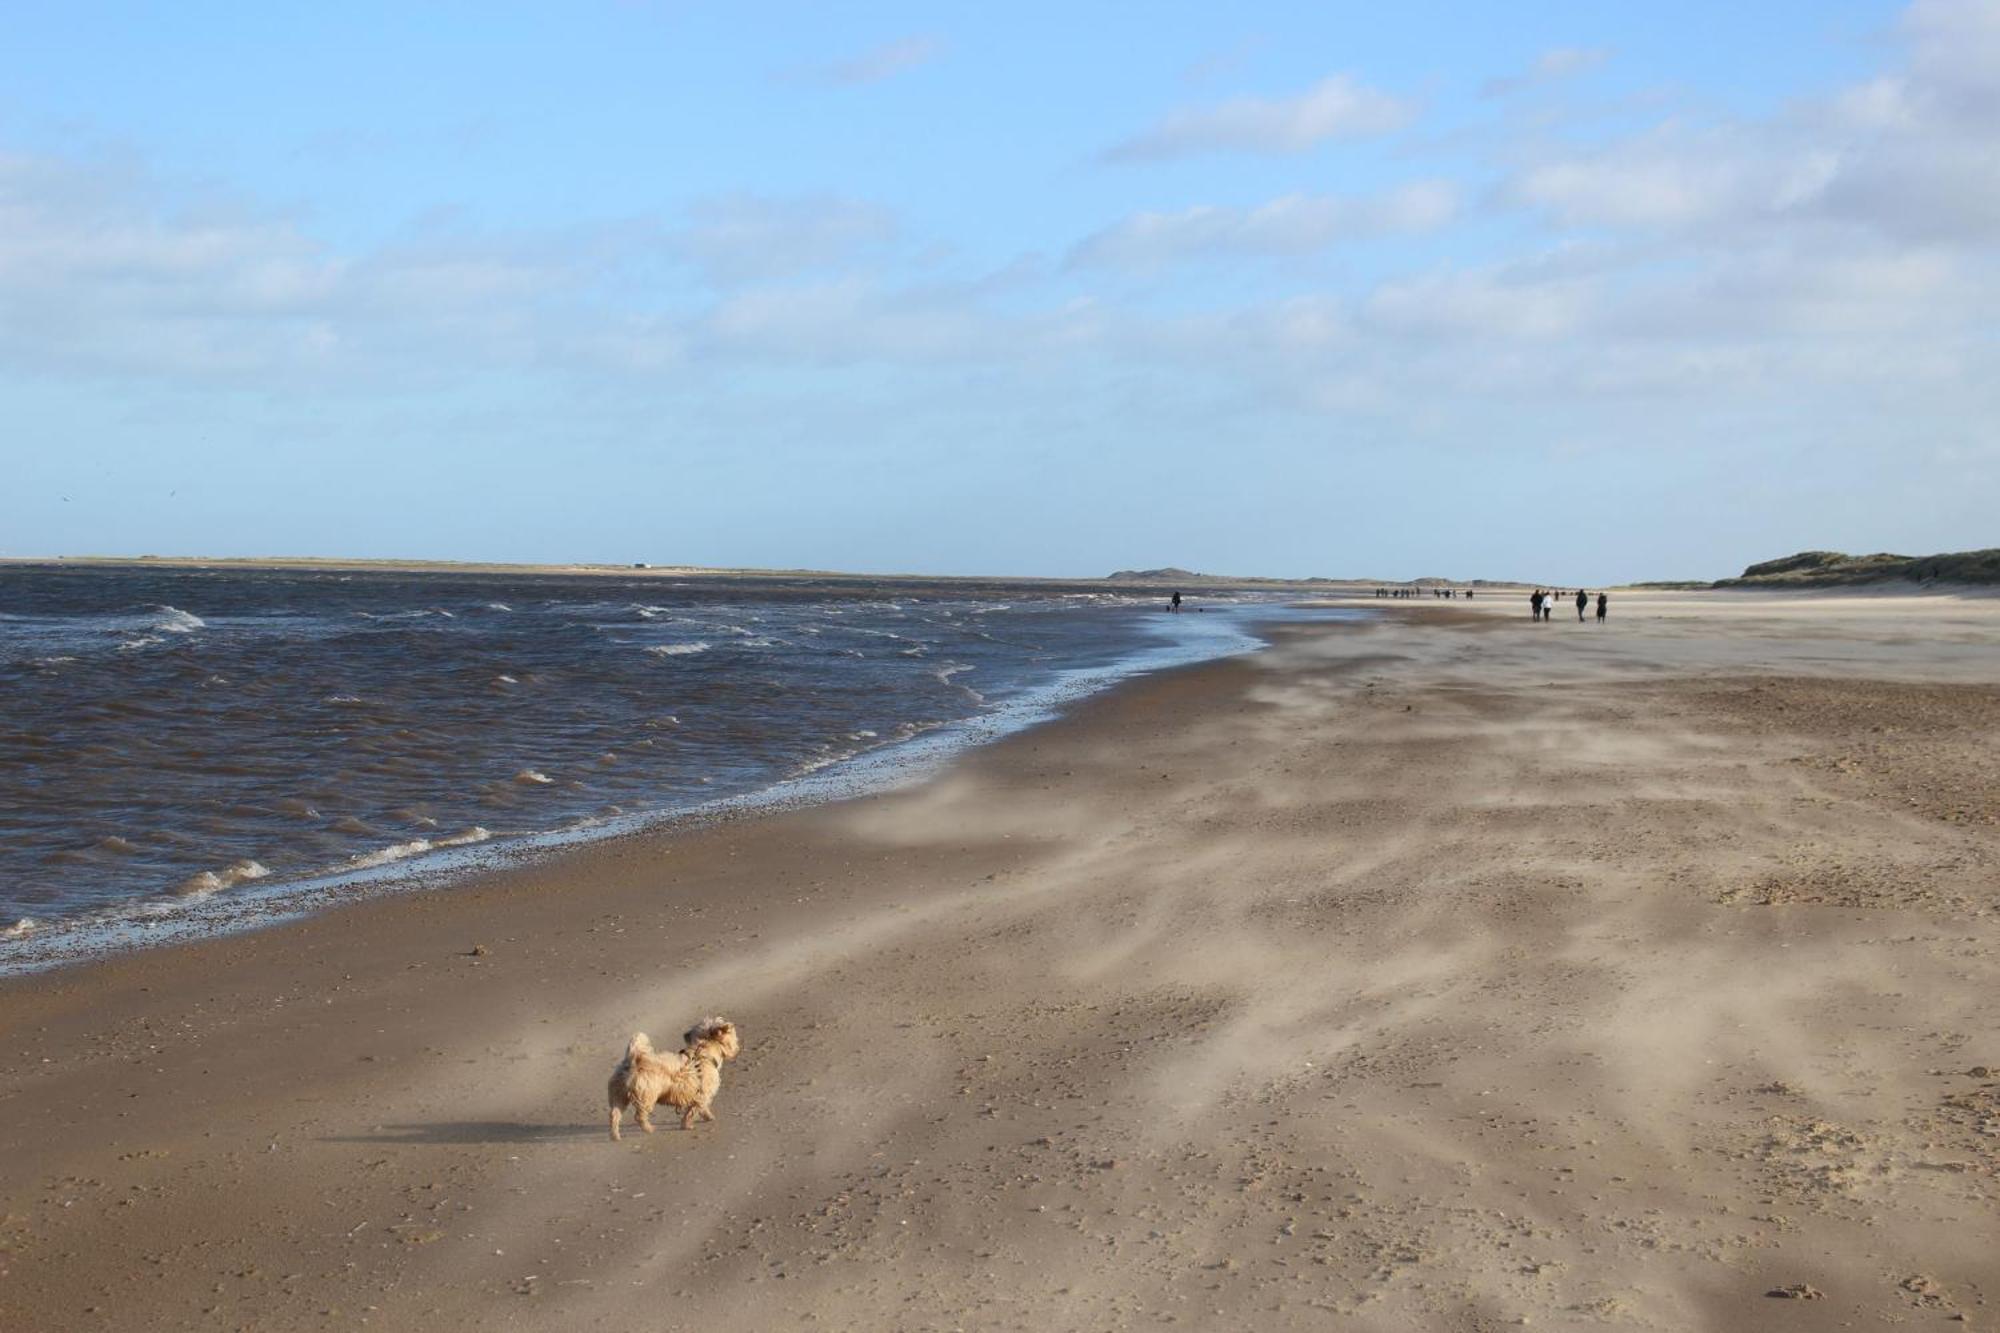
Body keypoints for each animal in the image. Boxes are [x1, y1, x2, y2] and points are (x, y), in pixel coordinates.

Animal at [608, 1012, 744, 1136]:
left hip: (619, 1094)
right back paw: (648, 1128)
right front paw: (687, 1125)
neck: (703, 1052)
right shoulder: (702, 1094)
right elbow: (693, 1110)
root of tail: (633, 1060)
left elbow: (700, 1108)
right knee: (639, 1116)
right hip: (646, 1096)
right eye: (734, 1036)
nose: (738, 1047)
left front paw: (706, 1116)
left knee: (614, 1114)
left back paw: (614, 1135)